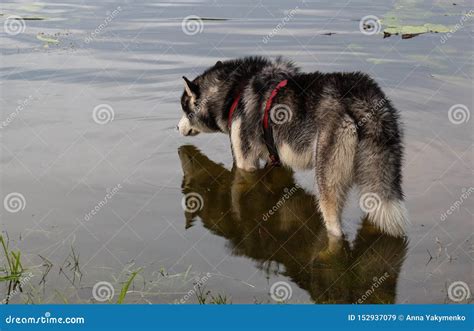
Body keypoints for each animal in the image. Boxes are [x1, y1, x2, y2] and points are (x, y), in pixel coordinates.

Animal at [177, 57, 408, 239]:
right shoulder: (277, 159)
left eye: (184, 108)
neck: (234, 91)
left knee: (334, 227)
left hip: (327, 183)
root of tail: (361, 97)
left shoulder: (245, 163)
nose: (177, 127)